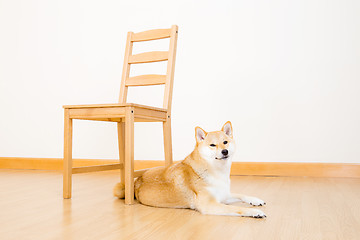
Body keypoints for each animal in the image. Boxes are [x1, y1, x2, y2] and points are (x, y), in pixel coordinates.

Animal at [114, 122, 266, 218]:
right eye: (212, 145)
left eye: (225, 142)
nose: (225, 151)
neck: (215, 171)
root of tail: (136, 182)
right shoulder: (209, 204)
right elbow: (237, 208)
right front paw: (254, 212)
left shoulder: (223, 195)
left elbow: (240, 194)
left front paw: (255, 200)